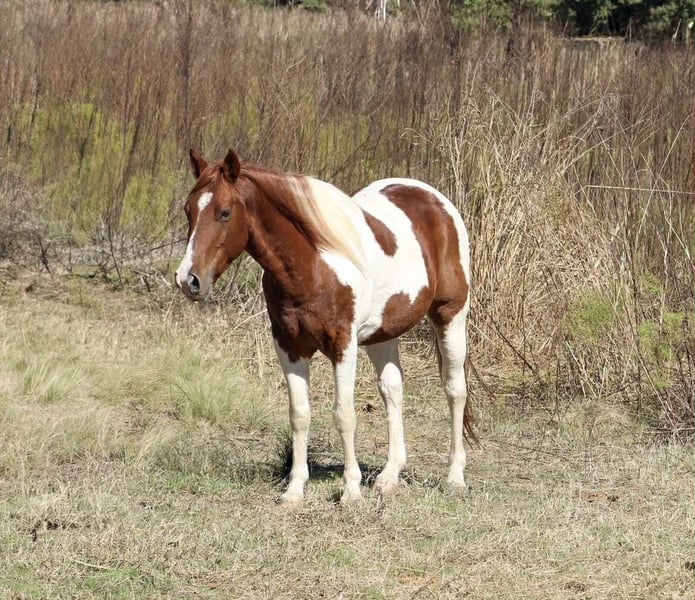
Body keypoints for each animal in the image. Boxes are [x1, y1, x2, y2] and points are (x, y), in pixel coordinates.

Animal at [175, 149, 475, 503]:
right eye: (189, 210)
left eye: (224, 213)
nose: (188, 280)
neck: (313, 264)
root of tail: (436, 201)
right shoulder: (288, 346)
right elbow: (300, 415)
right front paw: (294, 490)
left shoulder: (343, 344)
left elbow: (344, 414)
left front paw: (350, 492)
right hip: (382, 334)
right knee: (393, 391)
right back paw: (389, 476)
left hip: (450, 316)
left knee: (455, 390)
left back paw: (455, 476)